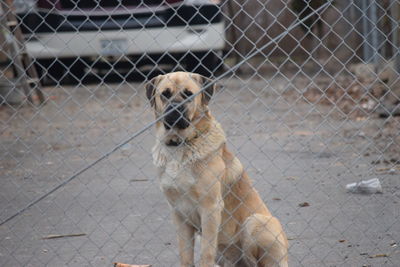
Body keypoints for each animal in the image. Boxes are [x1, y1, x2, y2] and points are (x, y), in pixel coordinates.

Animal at [146, 72, 288, 266]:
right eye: (165, 94)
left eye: (188, 94)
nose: (175, 109)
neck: (181, 145)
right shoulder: (179, 214)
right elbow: (185, 255)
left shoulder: (210, 208)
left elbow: (206, 253)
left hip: (256, 222)